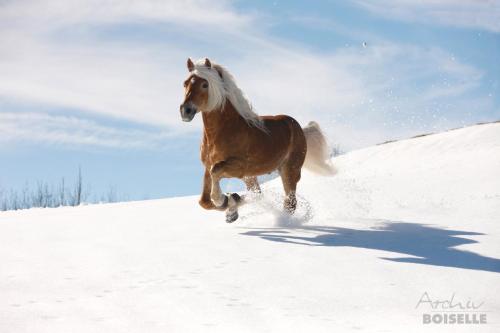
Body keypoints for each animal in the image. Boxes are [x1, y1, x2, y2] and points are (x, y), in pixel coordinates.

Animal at [180, 58, 336, 222]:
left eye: (205, 84)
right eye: (185, 83)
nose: (186, 110)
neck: (222, 131)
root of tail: (300, 129)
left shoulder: (239, 167)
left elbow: (216, 173)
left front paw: (223, 200)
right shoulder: (208, 166)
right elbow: (204, 201)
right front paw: (229, 204)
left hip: (290, 169)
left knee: (289, 202)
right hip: (254, 176)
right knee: (259, 194)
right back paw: (233, 207)